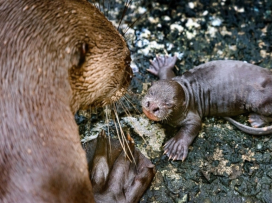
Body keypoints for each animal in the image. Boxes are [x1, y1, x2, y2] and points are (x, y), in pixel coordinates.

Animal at [141, 55, 272, 162]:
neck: (187, 92)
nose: (152, 106)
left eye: (168, 104)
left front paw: (176, 146)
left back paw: (256, 119)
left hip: (258, 99)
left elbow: (195, 124)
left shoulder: (190, 113)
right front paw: (162, 64)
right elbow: (166, 73)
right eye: (151, 91)